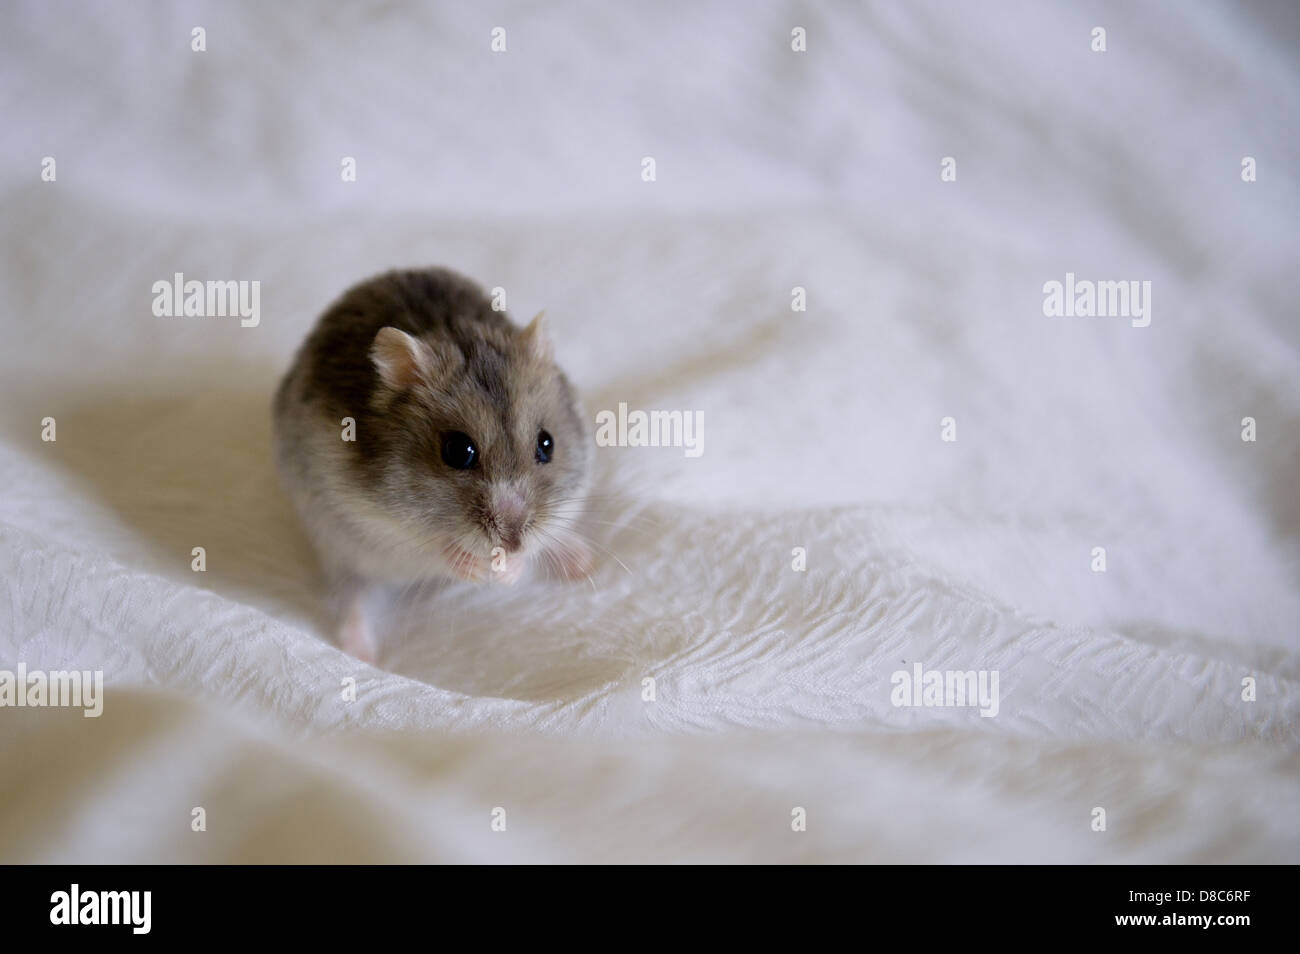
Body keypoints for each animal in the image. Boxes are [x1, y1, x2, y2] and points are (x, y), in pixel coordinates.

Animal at [279, 265, 598, 660]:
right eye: (458, 451)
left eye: (547, 444)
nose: (511, 544)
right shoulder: (369, 522)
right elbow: (434, 547)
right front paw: (479, 568)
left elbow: (541, 540)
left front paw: (508, 571)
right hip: (335, 546)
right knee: (352, 593)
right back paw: (361, 653)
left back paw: (583, 562)